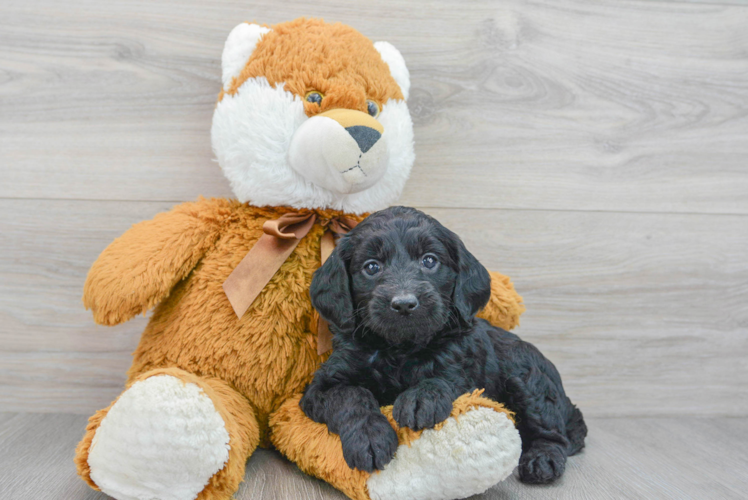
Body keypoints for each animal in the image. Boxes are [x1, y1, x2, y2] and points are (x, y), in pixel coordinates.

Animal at [300, 207, 588, 484]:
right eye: (372, 267)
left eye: (429, 260)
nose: (404, 304)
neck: (399, 349)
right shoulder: (322, 386)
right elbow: (351, 395)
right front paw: (370, 437)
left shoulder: (463, 365)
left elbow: (444, 378)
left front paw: (420, 399)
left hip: (528, 377)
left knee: (553, 433)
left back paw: (542, 460)